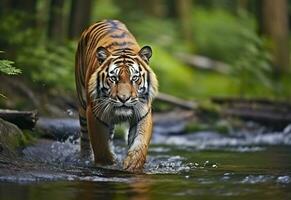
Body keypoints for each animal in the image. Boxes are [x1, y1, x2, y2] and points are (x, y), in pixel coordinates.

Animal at [74, 19, 159, 172]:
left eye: (134, 78)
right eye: (113, 78)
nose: (123, 99)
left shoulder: (143, 112)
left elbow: (141, 142)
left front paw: (133, 164)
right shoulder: (94, 113)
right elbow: (100, 146)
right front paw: (108, 164)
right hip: (82, 105)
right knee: (85, 140)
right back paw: (84, 159)